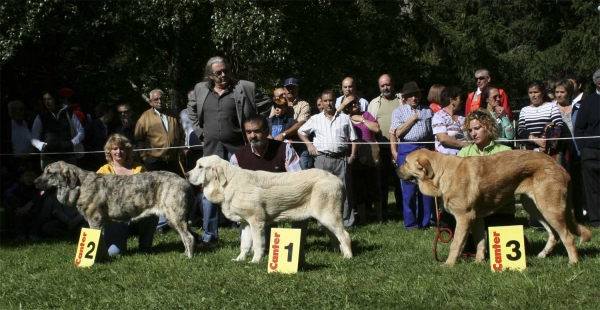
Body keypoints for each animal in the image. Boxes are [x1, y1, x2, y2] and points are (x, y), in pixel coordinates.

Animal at [186, 155, 352, 262]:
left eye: (200, 167)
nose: (186, 174)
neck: (229, 182)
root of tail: (338, 181)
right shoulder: (246, 223)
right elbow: (244, 244)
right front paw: (239, 259)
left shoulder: (256, 221)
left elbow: (257, 244)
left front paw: (255, 261)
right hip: (326, 218)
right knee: (335, 236)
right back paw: (338, 253)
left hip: (328, 216)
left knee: (345, 235)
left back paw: (348, 257)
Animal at [398, 149, 592, 266]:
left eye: (406, 162)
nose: (396, 167)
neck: (442, 173)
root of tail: (561, 167)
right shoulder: (476, 218)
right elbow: (480, 243)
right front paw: (478, 262)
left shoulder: (464, 217)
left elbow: (456, 244)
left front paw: (449, 265)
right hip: (535, 207)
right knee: (554, 235)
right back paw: (542, 256)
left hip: (550, 209)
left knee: (567, 236)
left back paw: (573, 263)